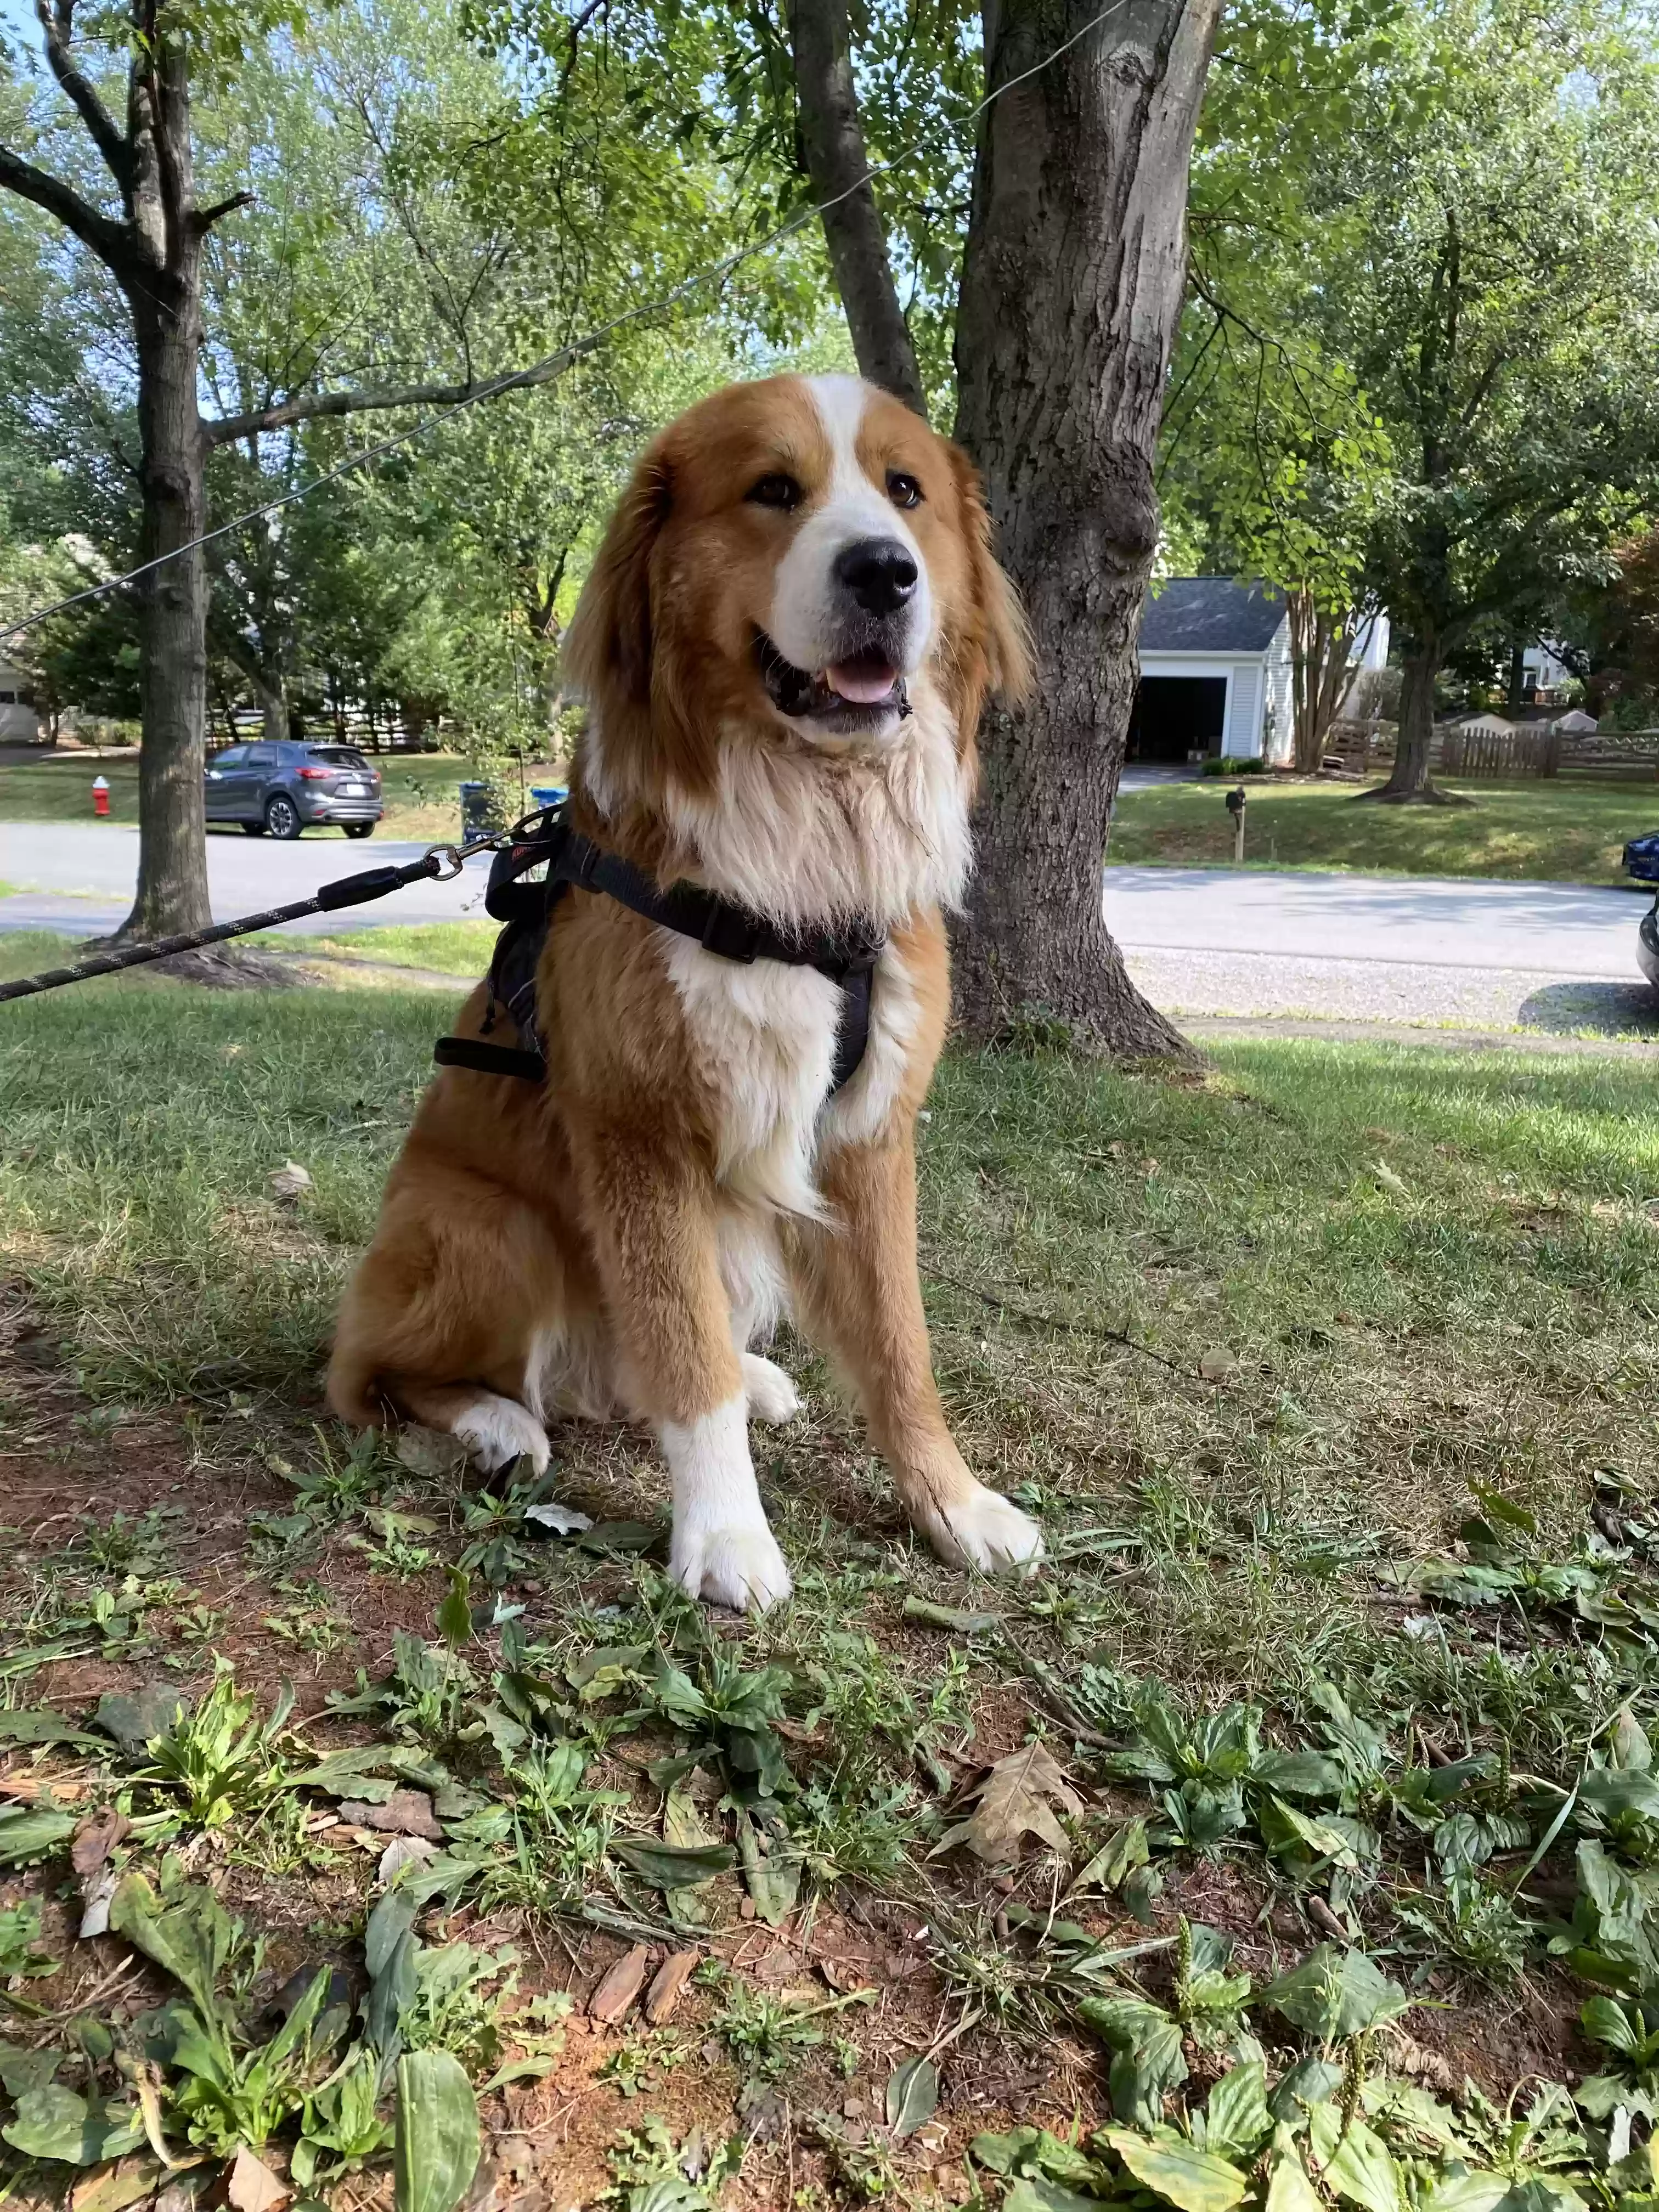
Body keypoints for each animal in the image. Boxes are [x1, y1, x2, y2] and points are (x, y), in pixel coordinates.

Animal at [329, 367, 1044, 1610]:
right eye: (772, 491)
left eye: (905, 492)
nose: (884, 571)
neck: (798, 864)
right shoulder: (640, 1135)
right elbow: (683, 1354)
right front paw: (724, 1537)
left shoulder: (869, 1142)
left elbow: (898, 1349)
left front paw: (952, 1504)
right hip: (485, 1225)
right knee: (379, 1372)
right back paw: (491, 1422)